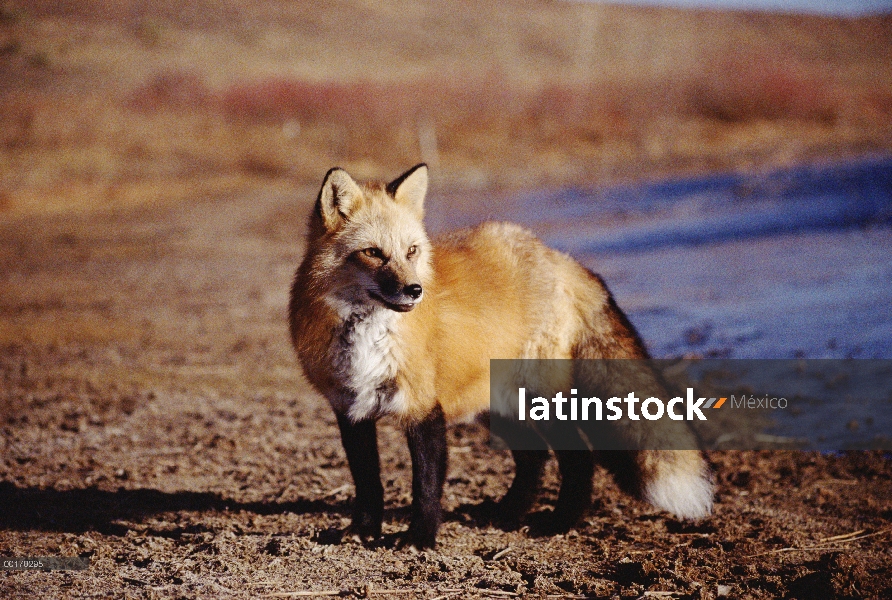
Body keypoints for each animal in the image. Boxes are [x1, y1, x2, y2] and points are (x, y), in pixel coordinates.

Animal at [290, 164, 716, 548]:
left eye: (411, 251)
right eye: (373, 253)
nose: (415, 290)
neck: (368, 333)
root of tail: (558, 256)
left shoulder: (423, 407)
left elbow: (425, 486)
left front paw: (419, 539)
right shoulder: (350, 409)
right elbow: (368, 483)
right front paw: (362, 531)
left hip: (536, 398)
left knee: (577, 456)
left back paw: (559, 522)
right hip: (496, 406)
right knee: (533, 456)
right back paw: (508, 512)